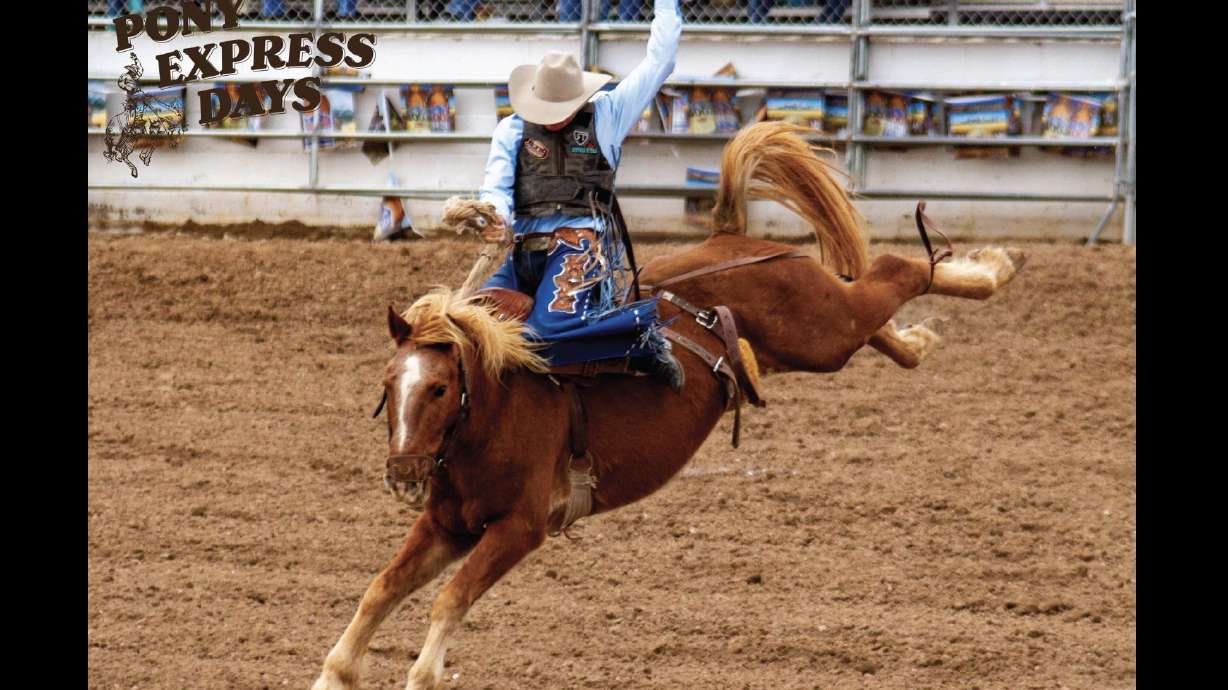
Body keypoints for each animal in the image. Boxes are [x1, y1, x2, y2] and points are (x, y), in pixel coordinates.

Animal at [311, 122, 1026, 690]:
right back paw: (926, 332)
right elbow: (379, 591)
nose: (402, 473)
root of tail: (731, 239)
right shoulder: (446, 524)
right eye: (387, 384)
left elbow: (445, 603)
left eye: (437, 388)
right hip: (822, 335)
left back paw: (996, 266)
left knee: (897, 271)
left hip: (823, 327)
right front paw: (335, 672)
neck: (493, 413)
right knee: (879, 312)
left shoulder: (518, 528)